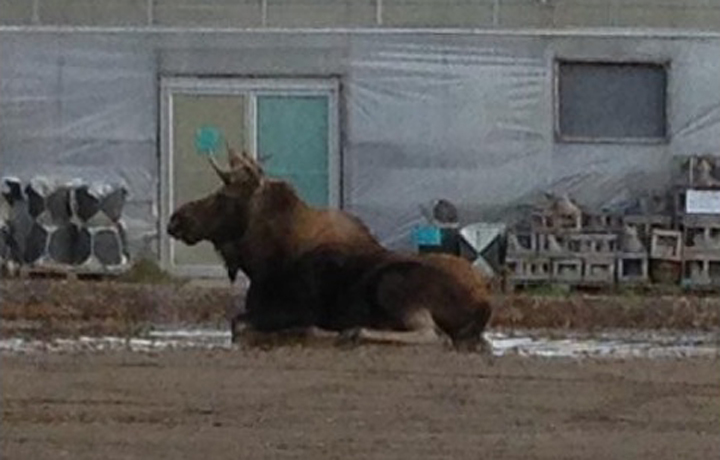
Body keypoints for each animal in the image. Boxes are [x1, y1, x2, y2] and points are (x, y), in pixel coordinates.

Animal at [169, 146, 496, 350]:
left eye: (223, 196)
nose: (176, 218)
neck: (261, 262)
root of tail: (484, 302)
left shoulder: (294, 308)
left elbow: (239, 325)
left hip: (394, 285)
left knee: (435, 335)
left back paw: (351, 332)